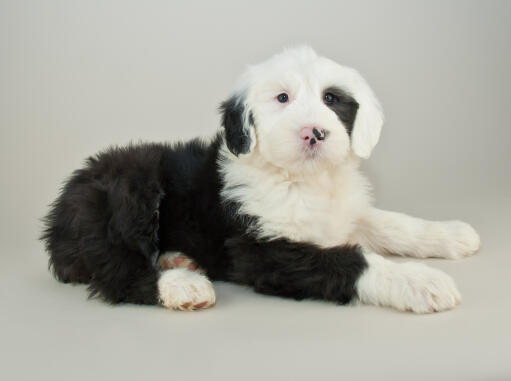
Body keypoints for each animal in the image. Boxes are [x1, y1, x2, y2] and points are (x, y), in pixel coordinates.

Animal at [42, 46, 482, 312]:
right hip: (128, 188)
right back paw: (182, 285)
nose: (313, 133)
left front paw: (451, 234)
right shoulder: (262, 250)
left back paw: (178, 259)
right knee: (114, 270)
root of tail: (57, 216)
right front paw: (420, 281)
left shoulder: (342, 215)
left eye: (331, 99)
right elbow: (351, 259)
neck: (302, 181)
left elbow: (390, 223)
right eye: (282, 98)